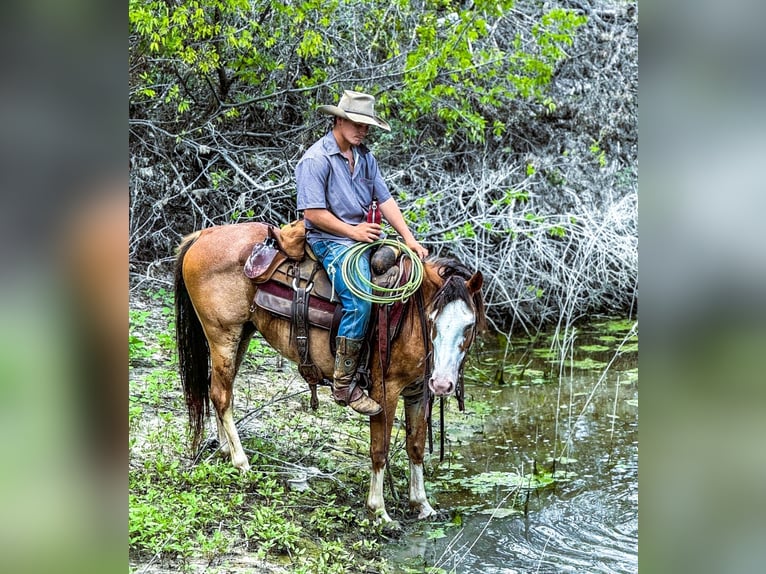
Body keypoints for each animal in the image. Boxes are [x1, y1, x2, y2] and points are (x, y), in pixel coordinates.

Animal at [175, 223, 486, 524]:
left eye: (469, 325)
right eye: (433, 321)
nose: (443, 384)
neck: (410, 313)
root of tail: (204, 234)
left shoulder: (418, 390)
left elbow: (416, 446)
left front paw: (422, 505)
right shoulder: (385, 390)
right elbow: (380, 450)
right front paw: (380, 512)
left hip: (242, 334)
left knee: (218, 390)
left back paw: (225, 450)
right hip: (222, 334)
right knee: (221, 395)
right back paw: (241, 462)